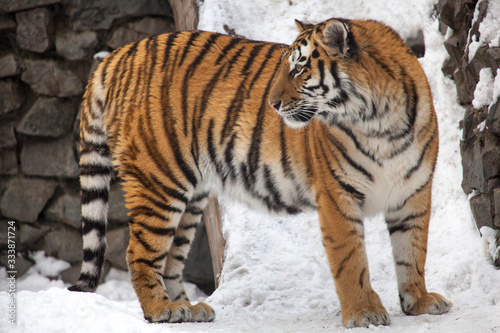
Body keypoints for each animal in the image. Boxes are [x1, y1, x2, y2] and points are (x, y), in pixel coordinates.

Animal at [67, 16, 454, 326]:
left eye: (298, 68)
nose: (272, 104)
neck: (380, 123)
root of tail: (117, 54)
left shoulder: (414, 194)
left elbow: (412, 253)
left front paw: (418, 302)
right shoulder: (337, 196)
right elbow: (351, 259)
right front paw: (363, 312)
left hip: (191, 195)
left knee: (171, 258)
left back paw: (187, 309)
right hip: (159, 181)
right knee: (140, 253)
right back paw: (161, 310)